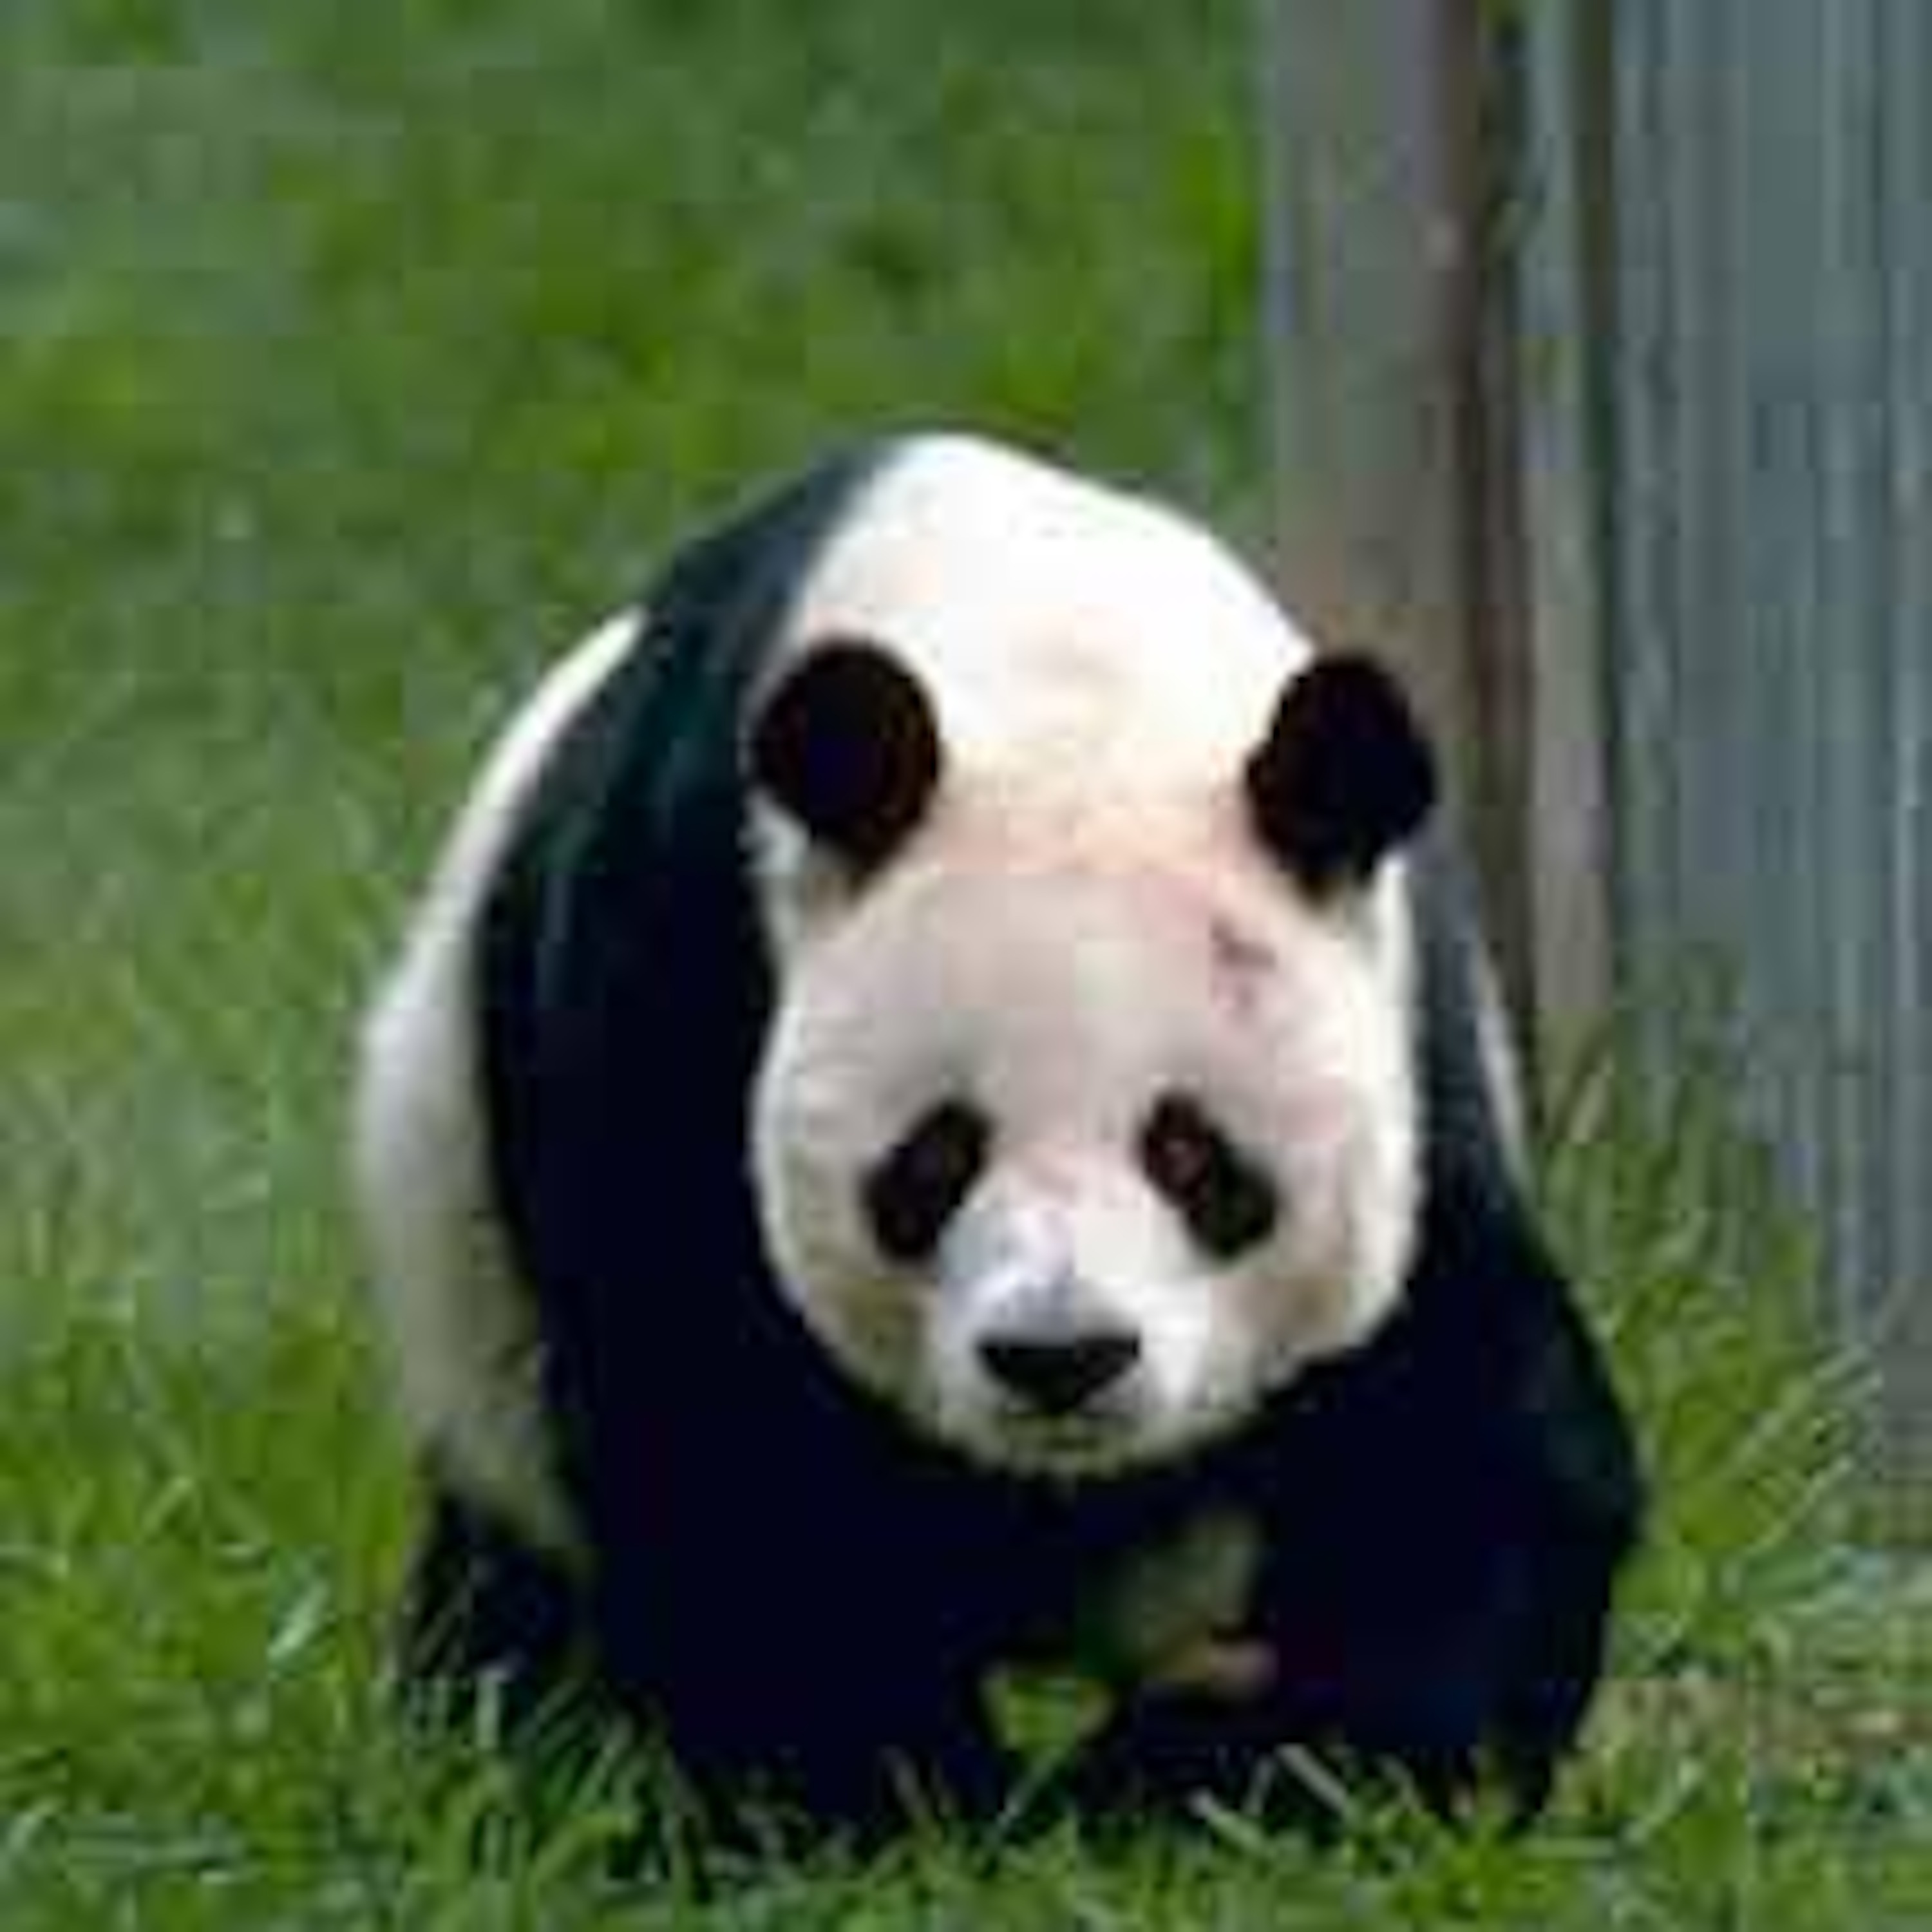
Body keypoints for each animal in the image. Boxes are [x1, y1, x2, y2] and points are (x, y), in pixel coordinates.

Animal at [353, 432, 1643, 1834]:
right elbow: (724, 1448)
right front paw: (878, 1800)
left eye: (1194, 1155)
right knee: (514, 1562)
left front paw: (1226, 1766)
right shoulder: (678, 972)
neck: (1058, 686)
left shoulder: (1418, 1074)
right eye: (934, 1157)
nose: (1061, 1358)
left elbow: (1466, 1458)